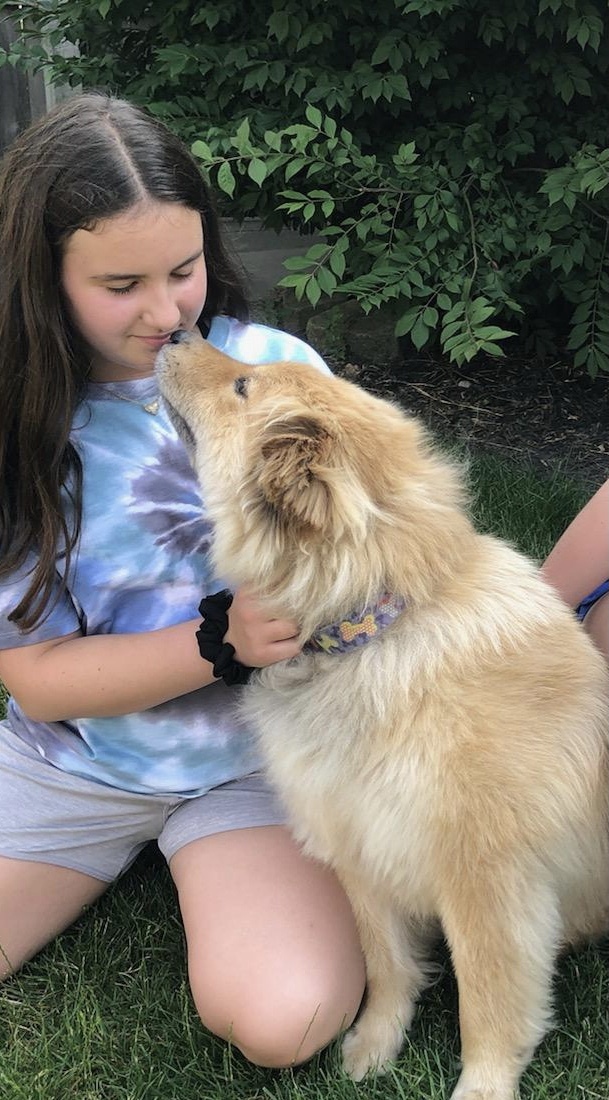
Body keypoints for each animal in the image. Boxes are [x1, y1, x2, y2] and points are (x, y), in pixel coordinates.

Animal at [156, 334, 606, 1100]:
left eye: (244, 386)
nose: (176, 334)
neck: (369, 632)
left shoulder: (491, 884)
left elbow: (488, 1002)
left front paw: (482, 1088)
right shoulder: (361, 851)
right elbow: (387, 965)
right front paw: (373, 1047)